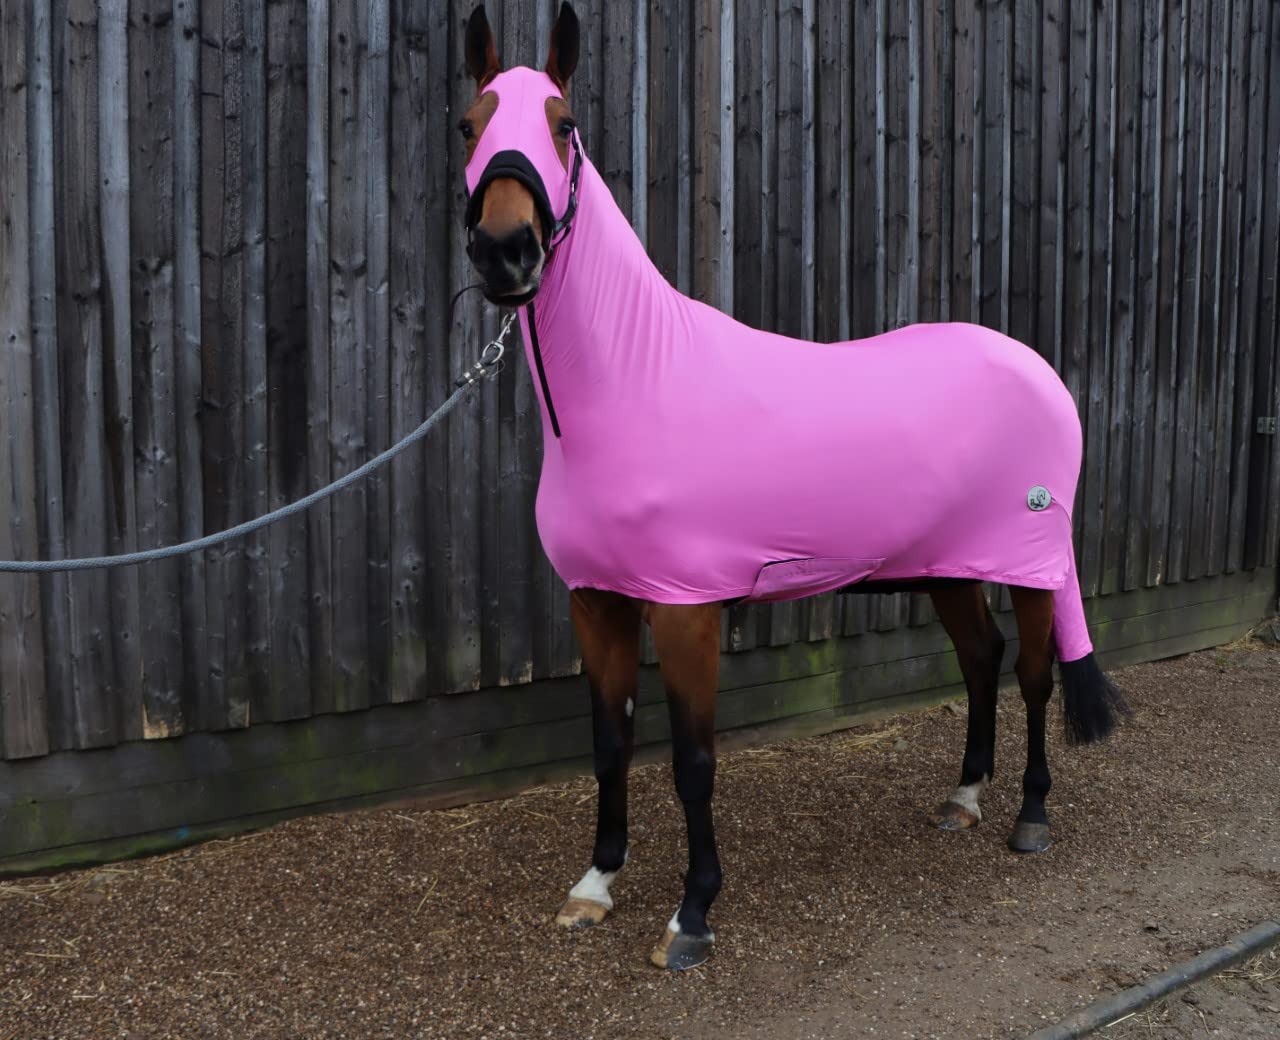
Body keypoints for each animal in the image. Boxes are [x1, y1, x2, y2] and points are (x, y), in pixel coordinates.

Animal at [457, 3, 1128, 971]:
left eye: (564, 124)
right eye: (467, 126)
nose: (506, 252)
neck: (634, 384)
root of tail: (1036, 368)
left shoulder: (686, 609)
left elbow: (693, 761)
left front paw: (692, 916)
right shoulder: (598, 602)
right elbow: (610, 743)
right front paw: (596, 884)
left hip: (1031, 563)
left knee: (1035, 673)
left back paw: (1030, 815)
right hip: (949, 567)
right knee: (981, 659)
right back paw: (962, 799)